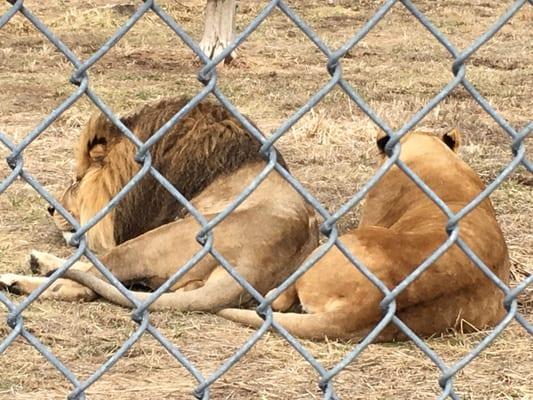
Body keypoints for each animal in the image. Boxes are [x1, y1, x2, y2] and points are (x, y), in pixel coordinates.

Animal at [0, 97, 316, 310]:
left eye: (77, 181)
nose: (50, 208)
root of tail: (256, 264)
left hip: (153, 241)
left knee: (83, 284)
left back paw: (14, 280)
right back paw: (39, 262)